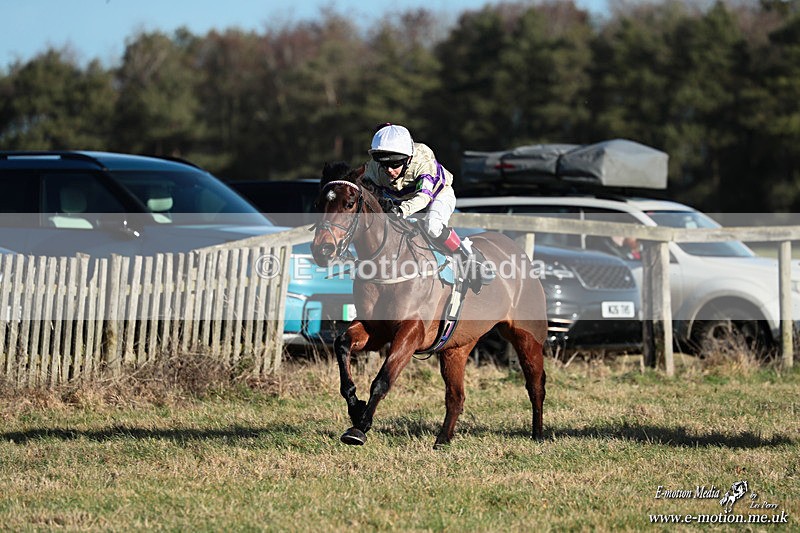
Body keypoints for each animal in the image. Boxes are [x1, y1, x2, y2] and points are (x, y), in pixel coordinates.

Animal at [311, 162, 548, 448]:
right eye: (319, 203)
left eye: (348, 203)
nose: (322, 250)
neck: (390, 262)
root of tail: (518, 251)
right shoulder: (374, 329)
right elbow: (342, 345)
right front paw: (356, 407)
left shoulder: (411, 332)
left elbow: (382, 380)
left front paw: (360, 428)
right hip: (456, 347)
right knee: (456, 395)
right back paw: (443, 439)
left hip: (527, 335)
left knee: (535, 383)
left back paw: (538, 434)